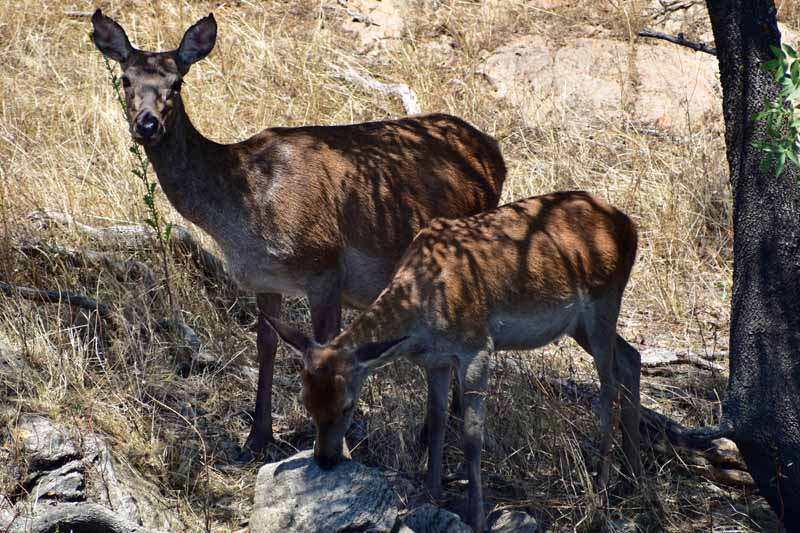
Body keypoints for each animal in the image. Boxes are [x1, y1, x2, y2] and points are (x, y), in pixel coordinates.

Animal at [90, 10, 506, 459]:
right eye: (125, 79)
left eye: (177, 82)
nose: (147, 125)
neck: (243, 213)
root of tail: (494, 152)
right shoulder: (263, 278)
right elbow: (266, 345)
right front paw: (256, 438)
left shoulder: (324, 266)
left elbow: (329, 346)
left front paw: (338, 449)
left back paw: (437, 435)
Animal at [264, 191, 643, 532]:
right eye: (305, 401)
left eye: (348, 405)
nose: (325, 459)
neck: (423, 311)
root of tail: (629, 225)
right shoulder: (436, 360)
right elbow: (436, 420)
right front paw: (431, 494)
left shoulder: (477, 348)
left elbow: (472, 436)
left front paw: (476, 516)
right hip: (579, 323)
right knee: (631, 357)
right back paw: (633, 477)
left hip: (604, 300)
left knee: (608, 387)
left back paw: (603, 488)